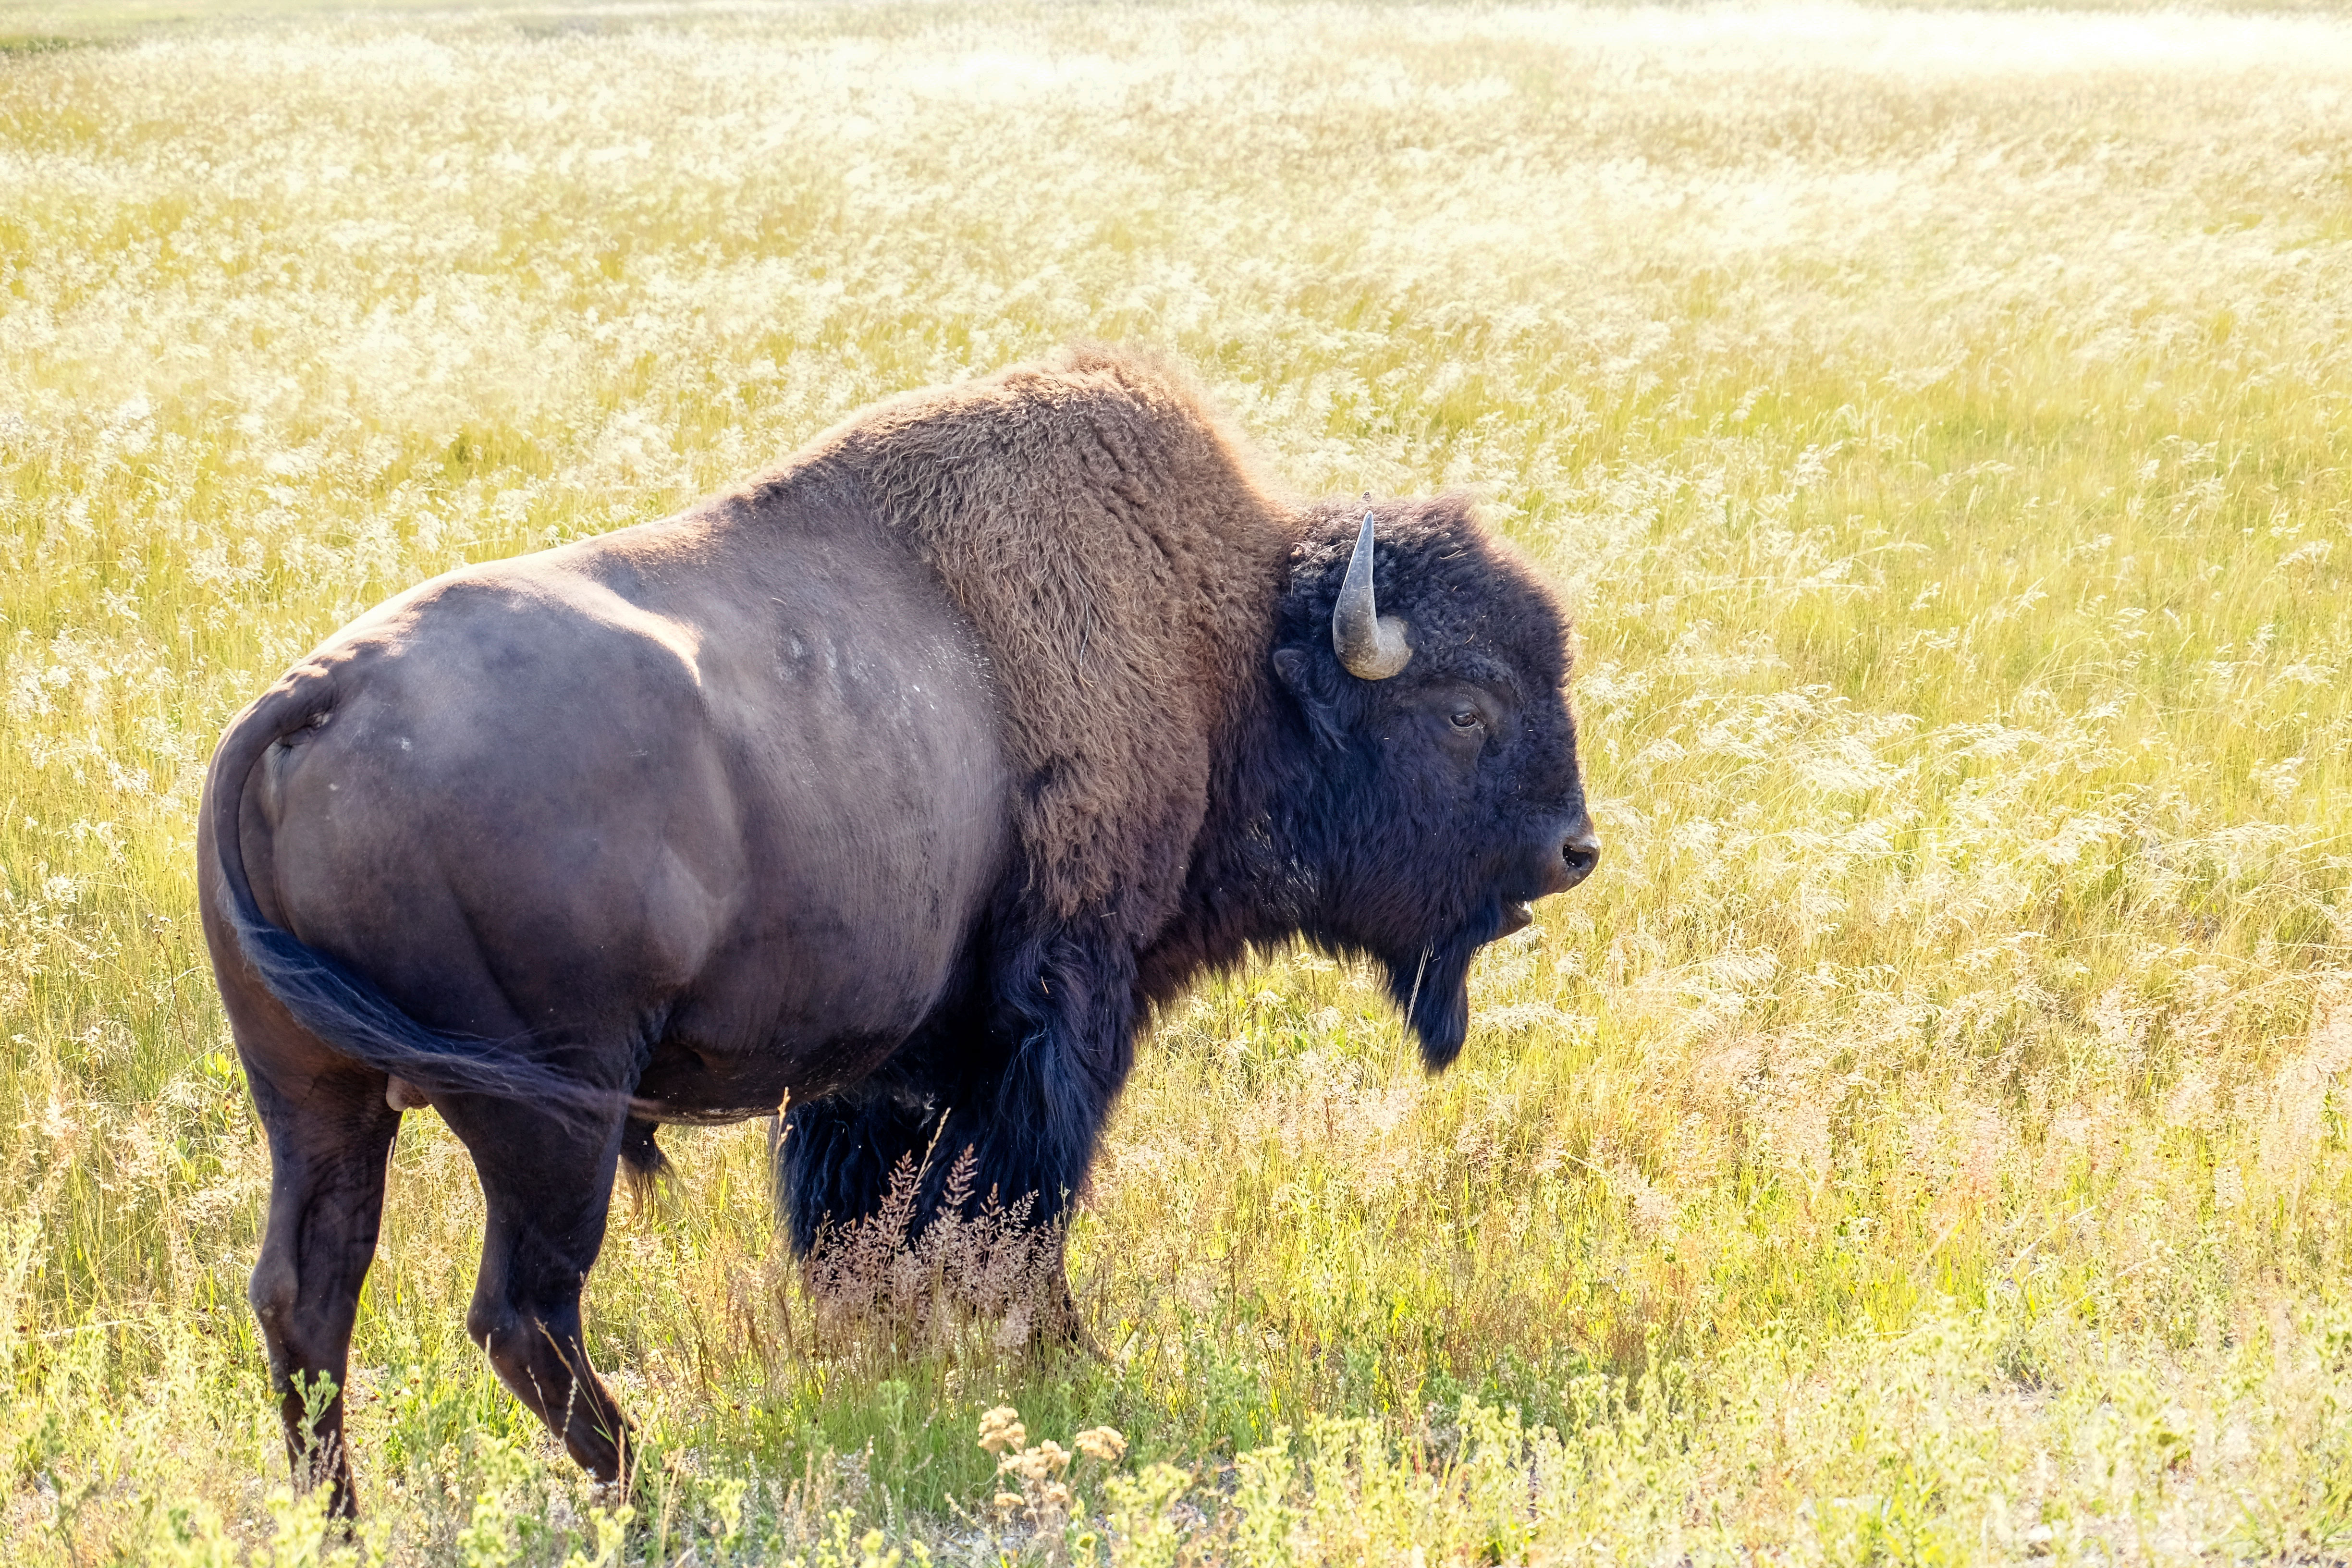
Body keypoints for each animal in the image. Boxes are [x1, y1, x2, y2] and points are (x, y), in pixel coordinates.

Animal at [197, 347, 1599, 1512]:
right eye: (1464, 709)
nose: (1574, 850)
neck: (1226, 652)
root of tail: (319, 700)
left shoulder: (883, 1065)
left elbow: (875, 1218)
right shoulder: (1057, 1017)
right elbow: (1016, 1207)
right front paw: (1062, 1359)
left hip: (318, 1096)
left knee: (308, 1295)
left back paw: (341, 1519)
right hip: (549, 1112)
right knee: (520, 1312)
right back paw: (647, 1494)